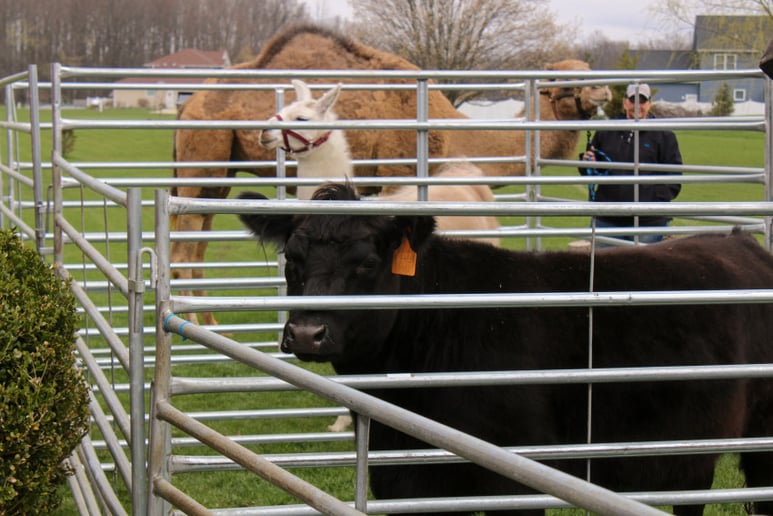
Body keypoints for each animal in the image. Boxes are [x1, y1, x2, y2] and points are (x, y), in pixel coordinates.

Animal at [172, 24, 610, 325]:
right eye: (558, 78)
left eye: (588, 68)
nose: (603, 91)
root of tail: (186, 105)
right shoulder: (399, 167)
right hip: (202, 155)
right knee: (184, 240)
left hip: (218, 173)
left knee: (198, 238)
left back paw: (209, 321)